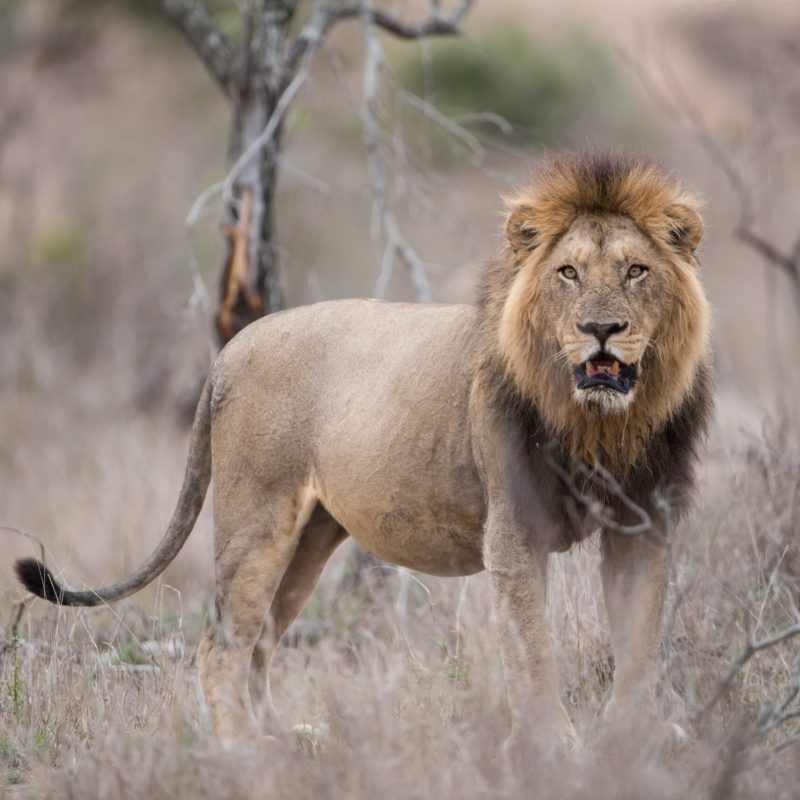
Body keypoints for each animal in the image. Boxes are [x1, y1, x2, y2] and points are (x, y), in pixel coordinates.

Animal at [16, 152, 712, 751]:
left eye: (636, 270)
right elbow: (532, 649)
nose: (602, 329)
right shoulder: (514, 530)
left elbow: (639, 640)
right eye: (568, 272)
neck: (601, 426)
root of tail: (231, 348)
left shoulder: (643, 525)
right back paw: (245, 753)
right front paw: (556, 747)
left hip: (311, 535)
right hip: (256, 519)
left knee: (262, 641)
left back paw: (286, 737)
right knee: (222, 644)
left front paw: (636, 739)